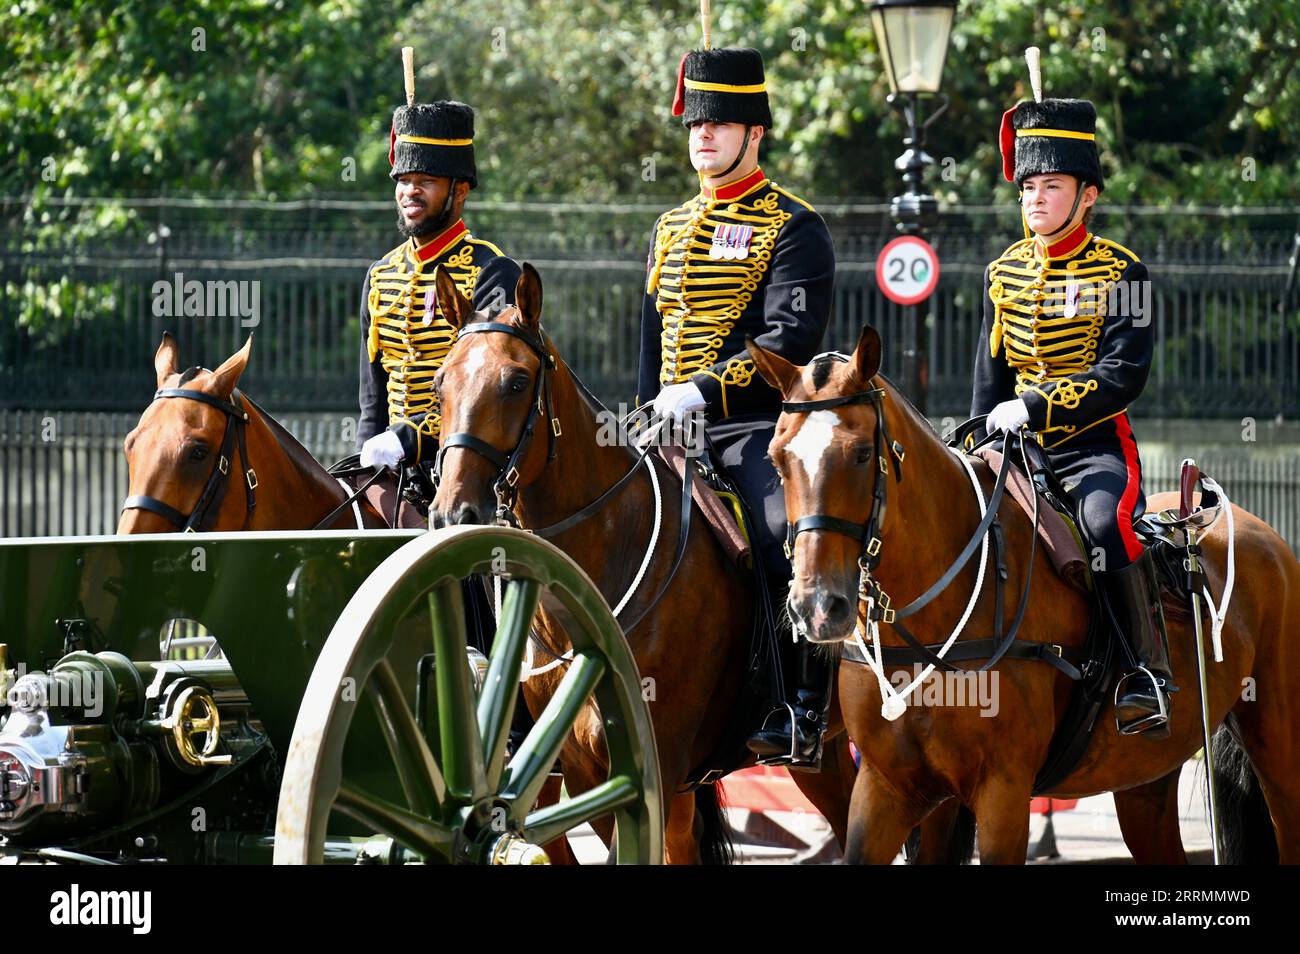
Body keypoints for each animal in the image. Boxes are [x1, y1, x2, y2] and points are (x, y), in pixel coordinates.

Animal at [748, 327, 1300, 868]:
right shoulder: (889, 789)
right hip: (1145, 780)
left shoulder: (1003, 792)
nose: (817, 608)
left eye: (862, 453)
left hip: (1277, 749)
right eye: (776, 459)